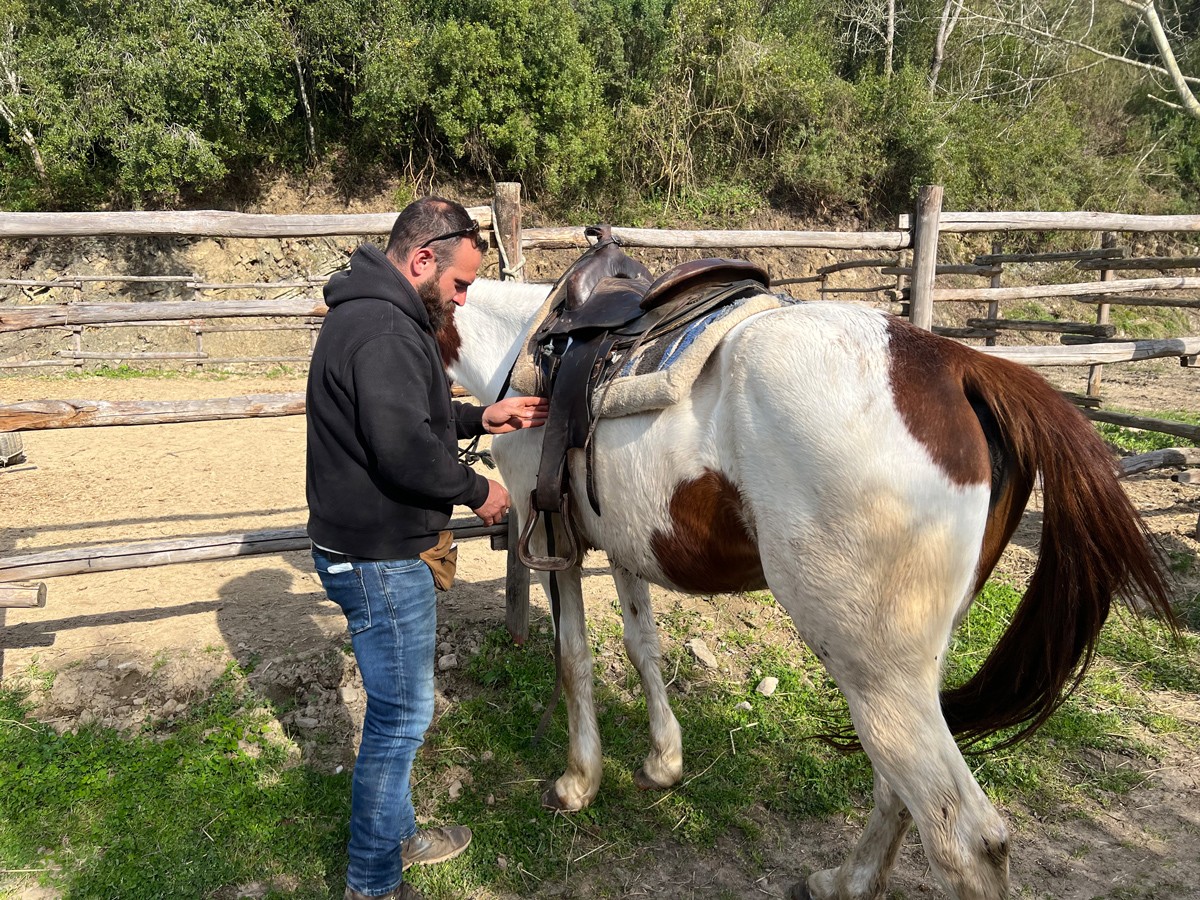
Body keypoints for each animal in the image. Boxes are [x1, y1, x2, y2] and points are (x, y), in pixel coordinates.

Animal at [441, 277, 1171, 900]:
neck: (522, 344)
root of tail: (959, 366)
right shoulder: (624, 546)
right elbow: (641, 646)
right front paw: (662, 762)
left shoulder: (549, 541)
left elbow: (573, 660)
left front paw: (577, 782)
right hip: (905, 671)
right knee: (896, 790)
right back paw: (844, 882)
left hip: (871, 667)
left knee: (964, 839)